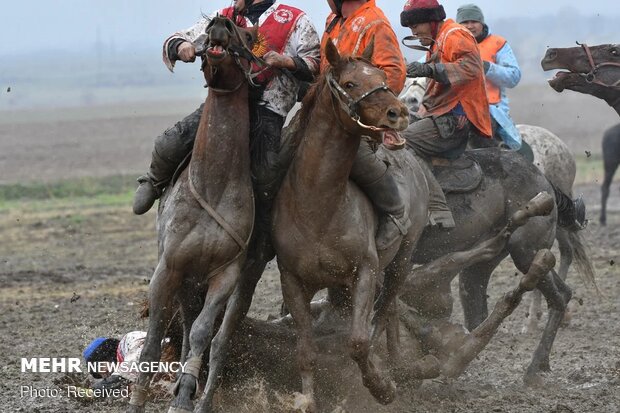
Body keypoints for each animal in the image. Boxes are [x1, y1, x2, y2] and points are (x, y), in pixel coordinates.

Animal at [127, 17, 258, 412]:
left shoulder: (225, 274)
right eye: (203, 31)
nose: (220, 24)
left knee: (192, 325)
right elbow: (153, 341)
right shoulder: (168, 269)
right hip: (183, 277)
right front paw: (138, 399)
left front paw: (185, 394)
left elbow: (202, 331)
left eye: (249, 36)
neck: (214, 183)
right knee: (182, 320)